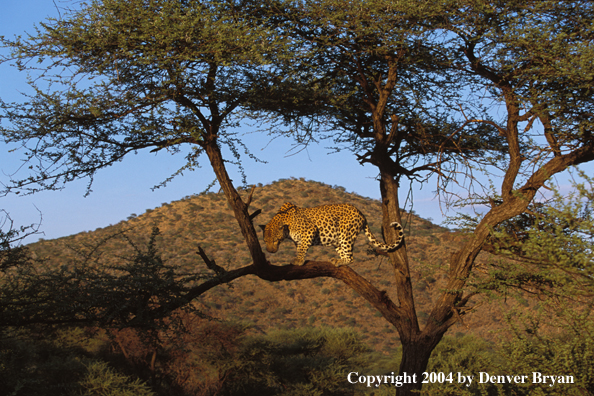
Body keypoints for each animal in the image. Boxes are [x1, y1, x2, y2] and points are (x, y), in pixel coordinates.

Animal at [260, 201, 402, 266]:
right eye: (265, 241)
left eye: (275, 240)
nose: (270, 251)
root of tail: (361, 213)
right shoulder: (299, 240)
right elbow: (300, 248)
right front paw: (299, 259)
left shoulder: (309, 230)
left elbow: (302, 249)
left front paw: (299, 261)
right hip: (337, 240)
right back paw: (338, 260)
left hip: (346, 234)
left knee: (351, 258)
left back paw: (340, 261)